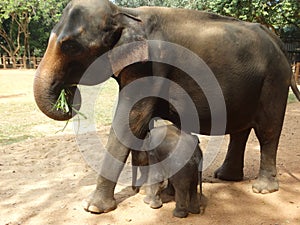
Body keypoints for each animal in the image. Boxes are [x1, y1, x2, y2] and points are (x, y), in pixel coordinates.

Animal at [33, 0, 300, 213]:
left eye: (70, 46)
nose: (68, 98)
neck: (125, 13)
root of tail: (277, 40)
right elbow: (141, 127)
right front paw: (142, 191)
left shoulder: (149, 66)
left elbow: (130, 121)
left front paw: (93, 208)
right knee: (240, 131)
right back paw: (225, 177)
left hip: (274, 80)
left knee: (267, 131)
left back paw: (262, 189)